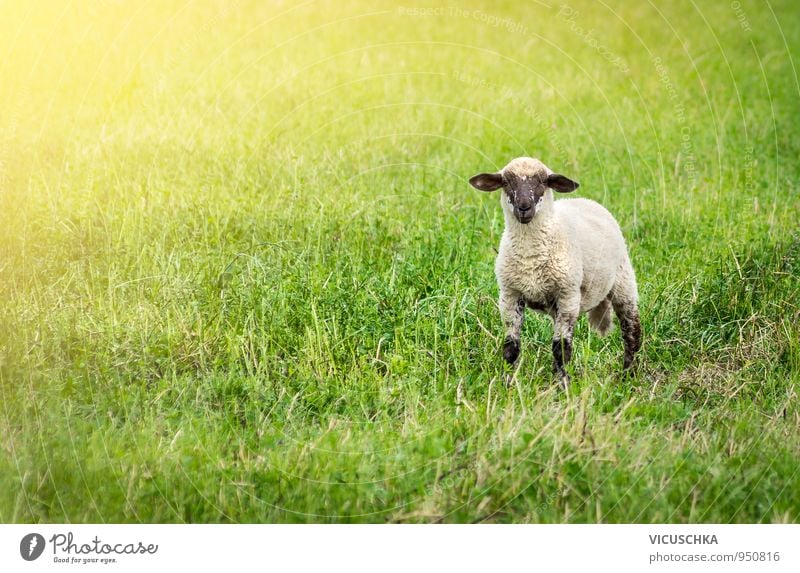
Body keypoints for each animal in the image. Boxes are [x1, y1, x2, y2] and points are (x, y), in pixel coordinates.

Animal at [468, 158, 644, 384]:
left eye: (543, 181)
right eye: (506, 182)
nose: (524, 207)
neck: (530, 257)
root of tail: (585, 200)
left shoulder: (568, 295)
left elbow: (561, 348)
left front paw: (562, 384)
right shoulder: (510, 295)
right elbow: (511, 347)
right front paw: (508, 381)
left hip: (623, 280)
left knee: (631, 331)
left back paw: (627, 375)